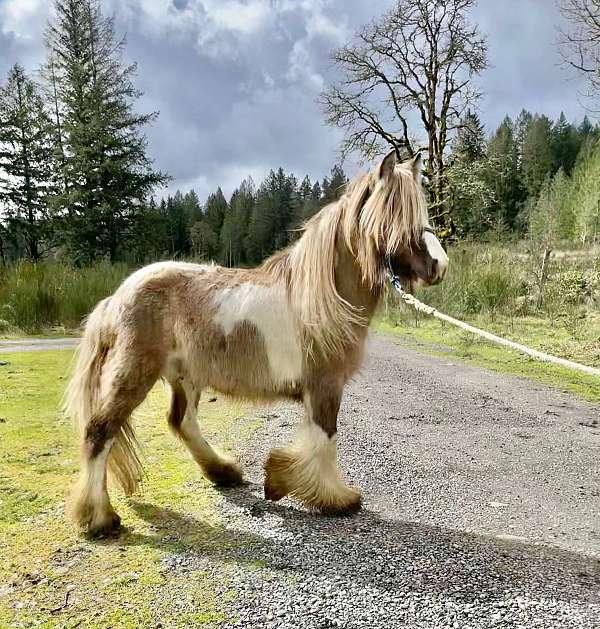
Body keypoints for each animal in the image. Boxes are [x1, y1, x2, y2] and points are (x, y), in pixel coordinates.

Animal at [65, 148, 448, 536]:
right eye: (397, 214)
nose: (439, 265)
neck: (320, 298)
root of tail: (117, 296)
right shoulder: (325, 384)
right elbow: (326, 436)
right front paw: (334, 498)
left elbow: (318, 437)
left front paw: (282, 481)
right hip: (134, 372)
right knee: (100, 430)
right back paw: (99, 518)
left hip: (185, 376)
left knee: (181, 422)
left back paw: (224, 473)